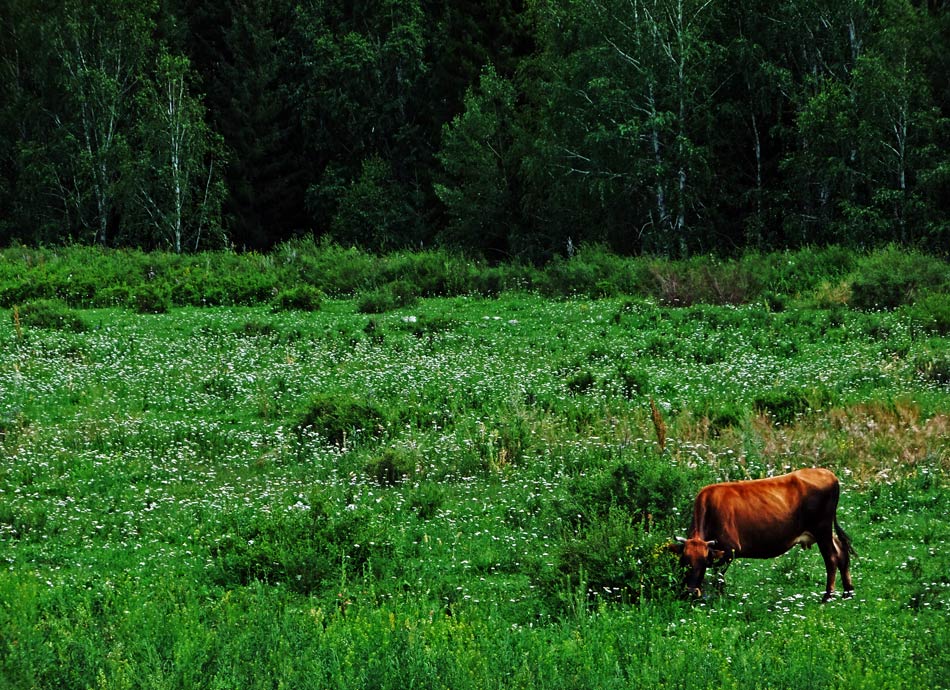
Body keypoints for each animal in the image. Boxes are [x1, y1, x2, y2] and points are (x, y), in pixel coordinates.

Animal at [668, 464, 856, 600]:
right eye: (684, 561)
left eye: (703, 562)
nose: (691, 592)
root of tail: (829, 474)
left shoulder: (729, 550)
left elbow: (718, 578)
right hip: (822, 530)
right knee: (841, 551)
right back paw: (847, 593)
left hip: (822, 528)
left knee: (831, 558)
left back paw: (827, 597)